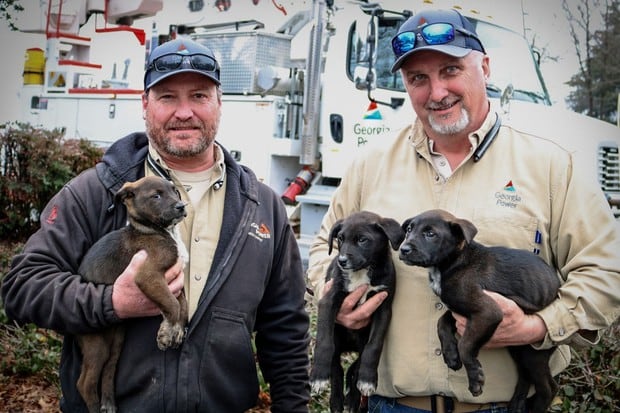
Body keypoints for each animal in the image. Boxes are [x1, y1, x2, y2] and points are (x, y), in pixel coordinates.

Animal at [76, 175, 186, 412]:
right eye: (156, 196)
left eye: (174, 191)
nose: (182, 206)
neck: (157, 231)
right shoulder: (147, 275)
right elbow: (172, 305)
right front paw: (166, 333)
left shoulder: (175, 280)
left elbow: (182, 305)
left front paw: (177, 331)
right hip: (95, 342)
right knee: (85, 383)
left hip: (117, 338)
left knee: (110, 366)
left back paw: (108, 403)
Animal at [310, 211, 406, 410]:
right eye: (340, 238)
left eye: (363, 240)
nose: (341, 261)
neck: (362, 272)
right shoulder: (328, 301)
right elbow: (324, 342)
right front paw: (319, 377)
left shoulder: (383, 309)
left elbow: (374, 346)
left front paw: (368, 380)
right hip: (337, 340)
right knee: (337, 369)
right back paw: (337, 400)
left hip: (361, 344)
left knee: (355, 366)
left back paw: (353, 398)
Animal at [398, 209, 560, 412]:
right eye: (409, 229)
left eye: (430, 233)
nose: (403, 249)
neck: (453, 262)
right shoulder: (458, 307)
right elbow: (442, 322)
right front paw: (451, 356)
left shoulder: (488, 311)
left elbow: (465, 345)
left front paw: (475, 379)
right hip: (519, 347)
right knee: (525, 375)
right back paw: (515, 404)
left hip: (534, 352)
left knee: (548, 388)